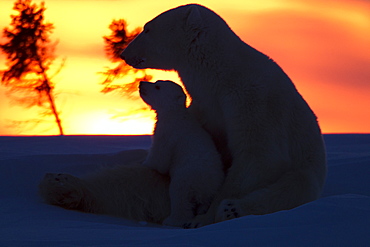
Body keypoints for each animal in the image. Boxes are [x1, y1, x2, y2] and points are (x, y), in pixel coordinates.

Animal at [139, 79, 224, 226]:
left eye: (157, 86)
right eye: (156, 82)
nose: (141, 83)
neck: (175, 113)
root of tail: (206, 188)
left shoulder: (168, 132)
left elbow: (160, 159)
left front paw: (145, 163)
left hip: (187, 176)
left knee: (179, 196)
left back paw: (172, 220)